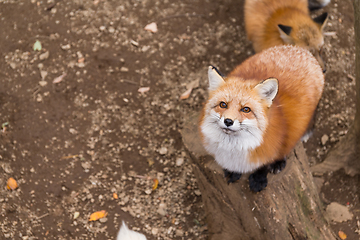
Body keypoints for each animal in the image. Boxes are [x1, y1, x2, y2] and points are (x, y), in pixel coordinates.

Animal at [198, 44, 324, 191]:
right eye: (223, 104)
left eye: (246, 109)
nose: (228, 121)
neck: (234, 148)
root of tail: (300, 49)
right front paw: (234, 172)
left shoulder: (274, 143)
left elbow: (265, 162)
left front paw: (259, 177)